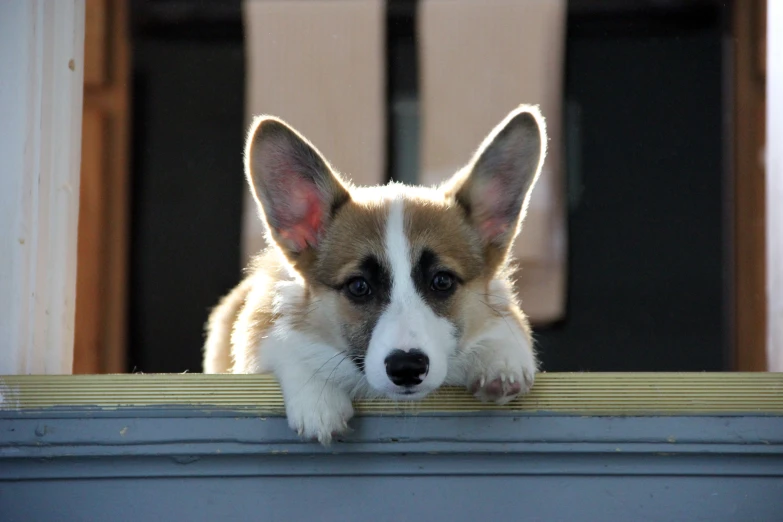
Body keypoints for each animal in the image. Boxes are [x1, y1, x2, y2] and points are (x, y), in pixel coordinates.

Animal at [204, 103, 544, 440]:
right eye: (358, 286)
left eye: (442, 281)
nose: (407, 368)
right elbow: (281, 341)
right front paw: (319, 397)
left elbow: (505, 325)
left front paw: (500, 360)